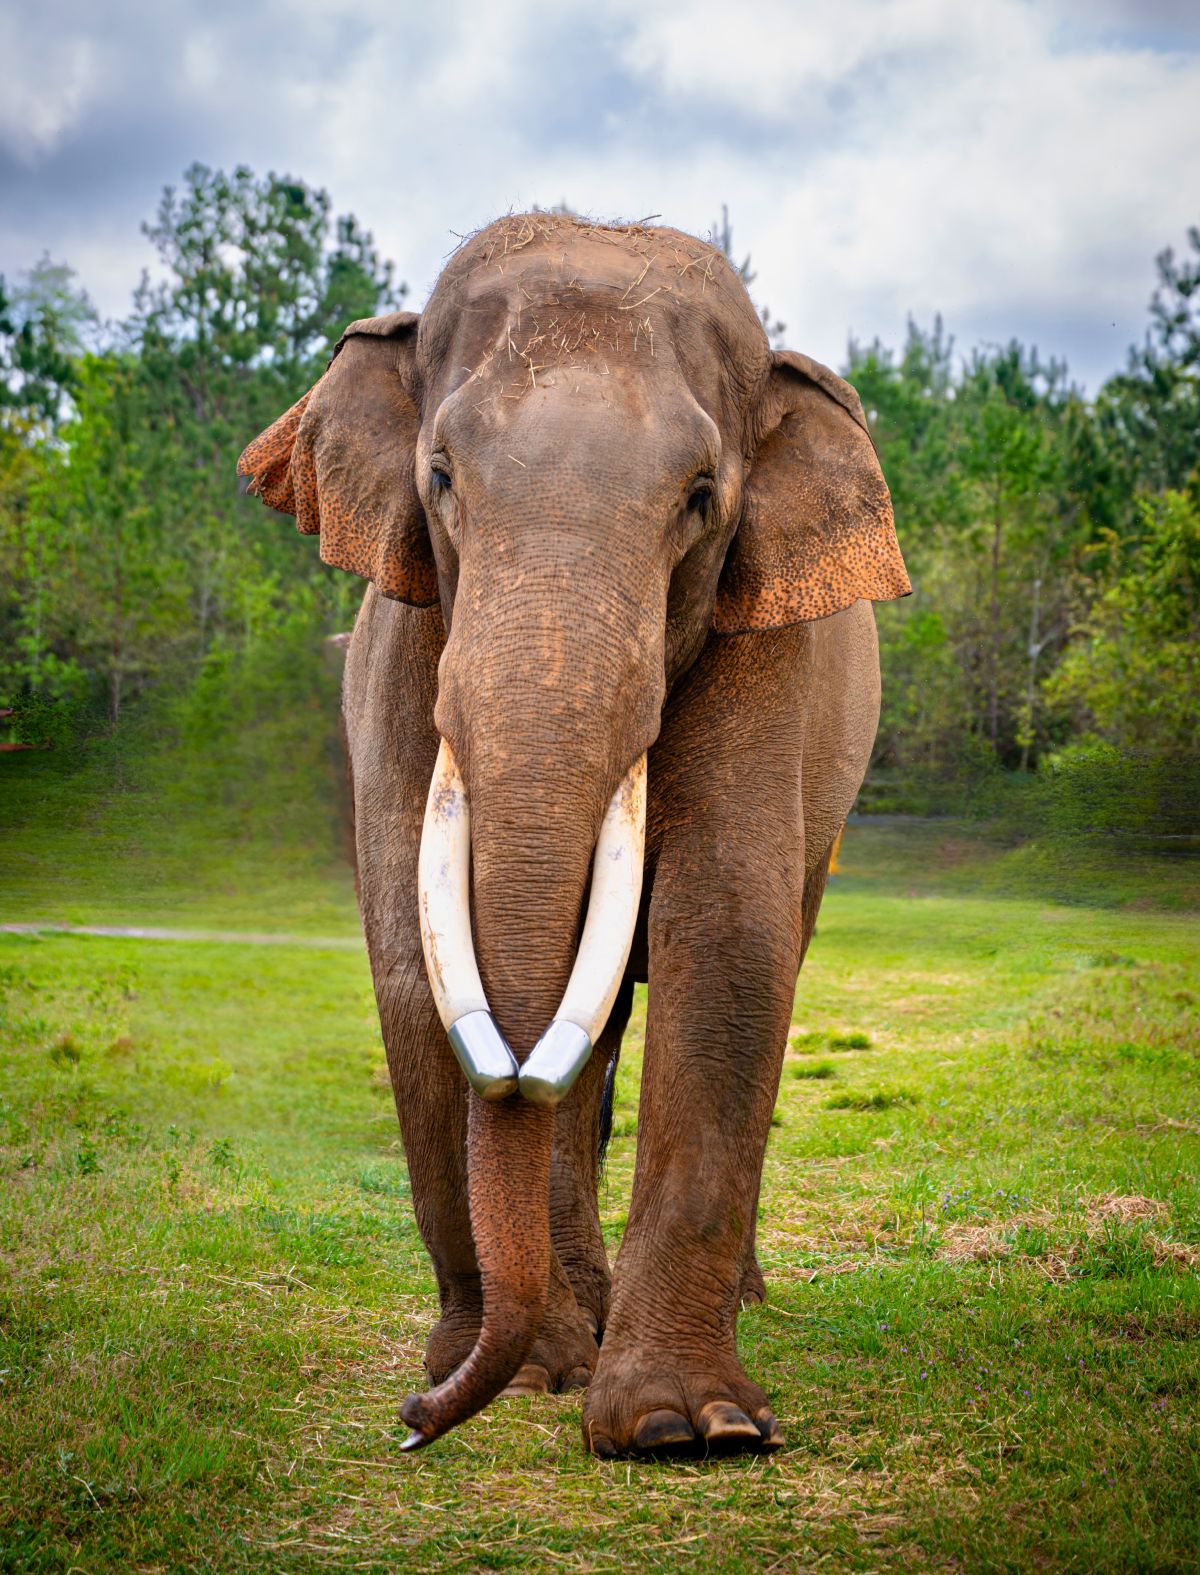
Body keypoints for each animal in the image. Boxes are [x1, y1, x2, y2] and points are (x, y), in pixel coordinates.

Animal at [238, 212, 909, 1459]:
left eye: (700, 497)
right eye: (440, 477)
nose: (413, 1423)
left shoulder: (769, 644)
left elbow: (726, 942)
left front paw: (685, 1429)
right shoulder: (401, 644)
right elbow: (409, 958)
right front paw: (517, 1373)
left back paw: (722, 1304)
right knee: (578, 1046)